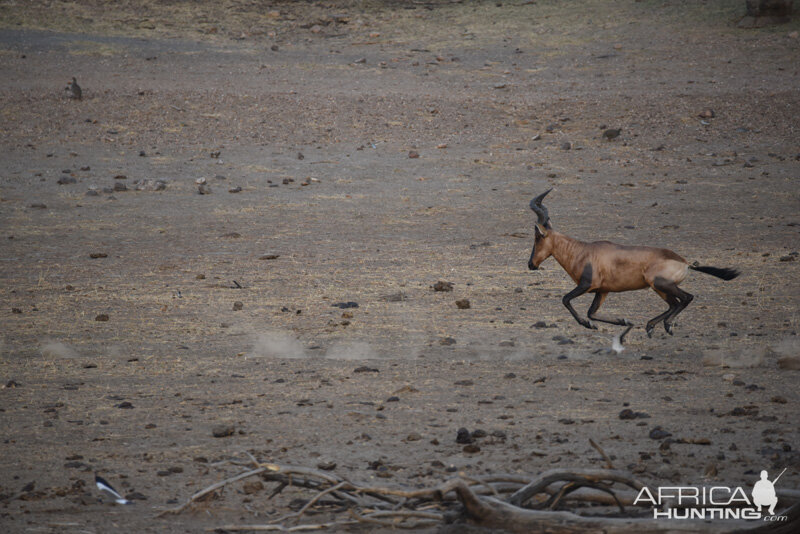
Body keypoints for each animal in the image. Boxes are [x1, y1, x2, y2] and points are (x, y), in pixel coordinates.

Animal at [528, 191, 740, 346]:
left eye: (537, 237)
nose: (531, 264)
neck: (583, 251)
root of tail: (685, 262)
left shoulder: (586, 285)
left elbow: (566, 300)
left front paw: (589, 326)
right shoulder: (602, 291)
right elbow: (592, 312)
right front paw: (625, 323)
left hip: (661, 284)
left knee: (686, 298)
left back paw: (666, 326)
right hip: (660, 289)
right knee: (674, 304)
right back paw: (651, 326)